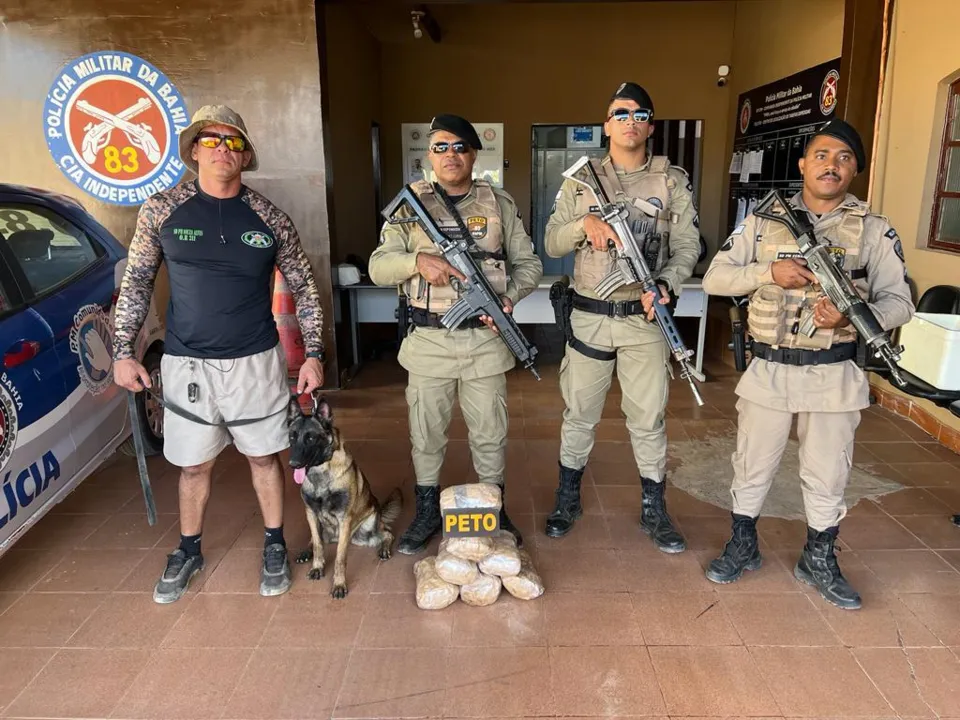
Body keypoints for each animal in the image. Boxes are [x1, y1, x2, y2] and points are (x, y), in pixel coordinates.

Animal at [286, 396, 404, 600]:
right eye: (292, 437)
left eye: (310, 438)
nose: (293, 464)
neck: (321, 473)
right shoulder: (310, 513)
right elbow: (317, 545)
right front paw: (317, 566)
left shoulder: (344, 519)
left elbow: (340, 558)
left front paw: (339, 584)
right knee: (315, 539)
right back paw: (306, 551)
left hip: (368, 529)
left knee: (387, 533)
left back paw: (384, 548)